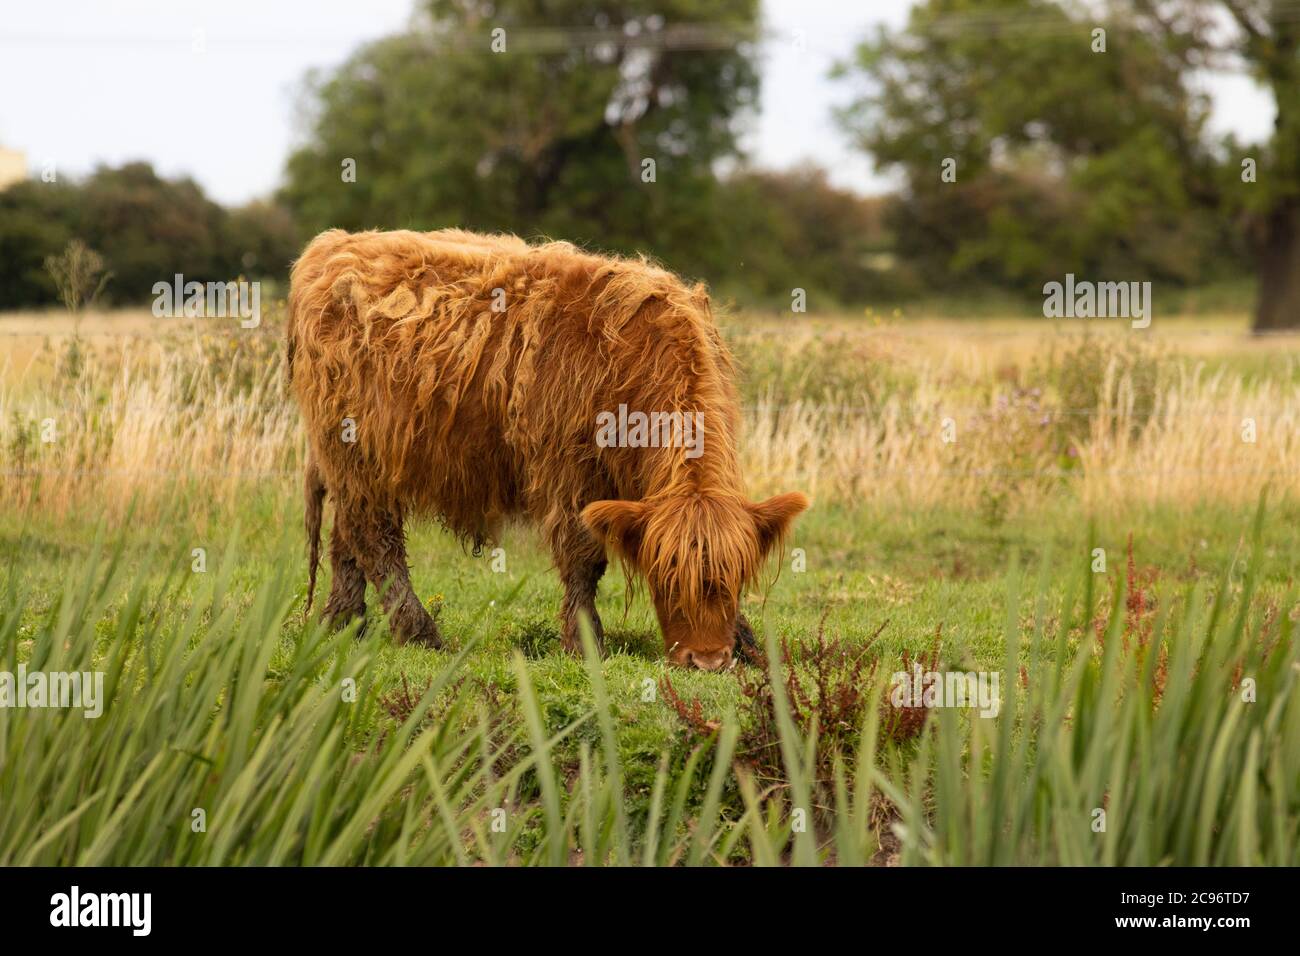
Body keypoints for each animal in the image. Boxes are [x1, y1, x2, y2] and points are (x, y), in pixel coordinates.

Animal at [287, 228, 807, 670]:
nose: (707, 661)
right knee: (376, 540)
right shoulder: (567, 471)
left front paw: (748, 643)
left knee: (346, 538)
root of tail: (334, 245)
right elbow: (583, 560)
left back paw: (342, 625)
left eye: (735, 579)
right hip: (360, 454)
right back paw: (418, 633)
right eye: (666, 579)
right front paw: (586, 643)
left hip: (352, 465)